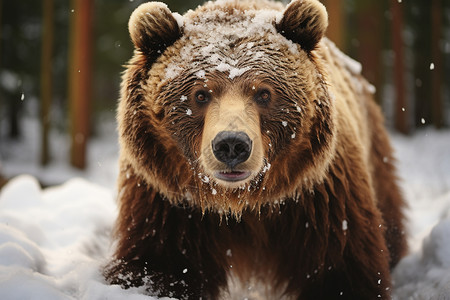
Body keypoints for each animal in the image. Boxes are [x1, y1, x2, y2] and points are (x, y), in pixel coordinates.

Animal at [105, 0, 408, 298]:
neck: (244, 202)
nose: (231, 144)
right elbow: (159, 265)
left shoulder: (320, 200)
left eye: (264, 93)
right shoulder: (168, 204)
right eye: (200, 94)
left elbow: (342, 270)